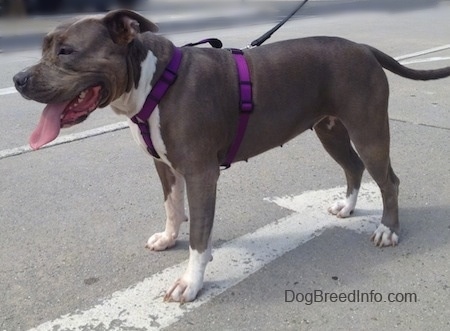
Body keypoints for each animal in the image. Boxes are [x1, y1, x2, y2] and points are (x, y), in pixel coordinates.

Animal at [13, 9, 450, 304]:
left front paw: (189, 282)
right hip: (330, 131)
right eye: (45, 48)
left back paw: (388, 230)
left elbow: (198, 234)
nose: (17, 79)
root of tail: (363, 48)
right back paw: (346, 207)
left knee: (388, 180)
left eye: (67, 51)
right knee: (354, 167)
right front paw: (168, 238)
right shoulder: (165, 167)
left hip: (368, 130)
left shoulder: (201, 173)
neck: (153, 82)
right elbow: (173, 208)